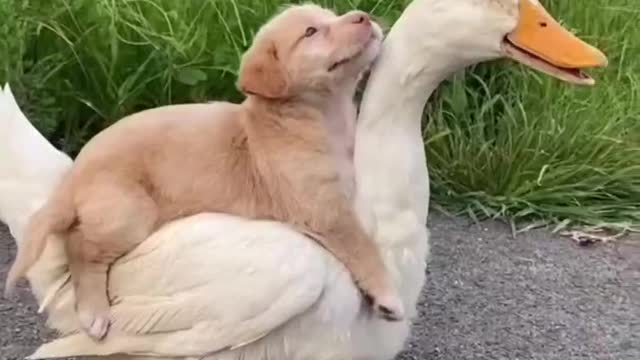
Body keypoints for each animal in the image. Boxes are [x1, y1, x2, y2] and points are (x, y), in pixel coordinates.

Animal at [5, 4, 402, 344]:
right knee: (80, 247)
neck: (314, 118)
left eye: (332, 15)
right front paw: (388, 297)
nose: (363, 16)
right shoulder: (324, 209)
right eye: (311, 32)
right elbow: (363, 246)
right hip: (129, 212)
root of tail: (74, 176)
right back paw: (94, 312)